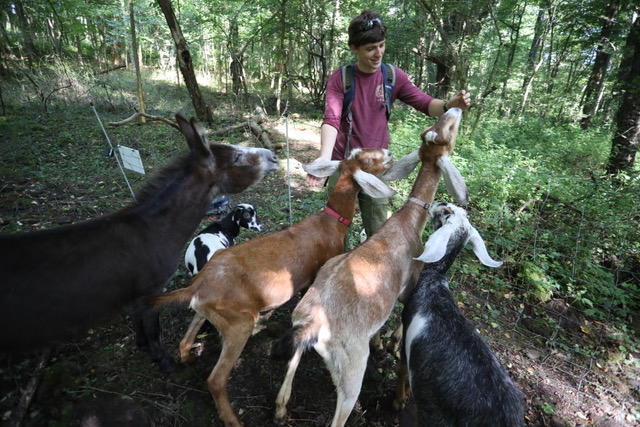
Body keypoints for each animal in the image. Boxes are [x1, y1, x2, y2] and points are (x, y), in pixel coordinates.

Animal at [152, 148, 398, 427]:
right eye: (366, 159)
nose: (389, 152)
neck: (330, 224)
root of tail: (196, 287)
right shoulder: (315, 277)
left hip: (209, 311)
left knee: (185, 340)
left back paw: (189, 358)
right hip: (237, 323)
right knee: (215, 379)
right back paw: (234, 420)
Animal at [396, 203, 524, 427]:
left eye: (446, 211)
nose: (432, 204)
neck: (435, 281)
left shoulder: (407, 335)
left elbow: (403, 368)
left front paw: (399, 400)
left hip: (434, 412)